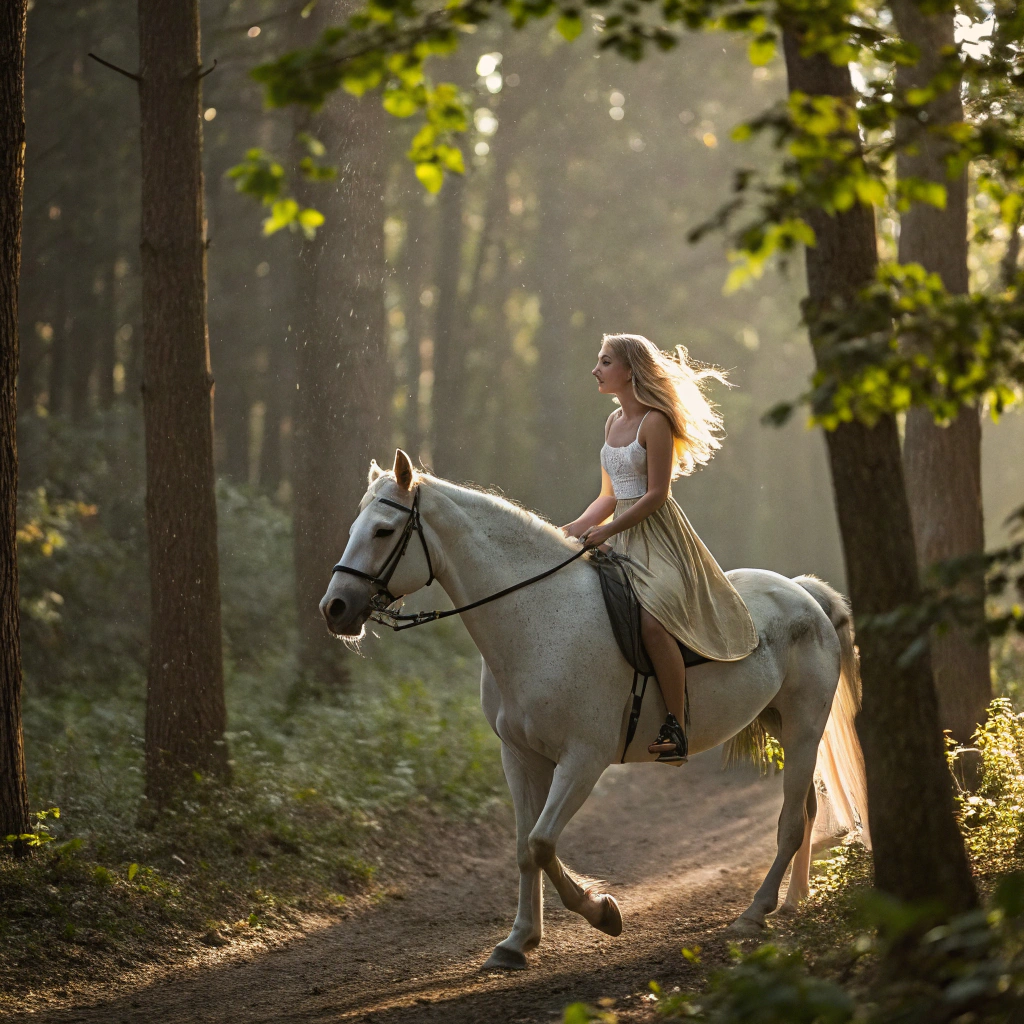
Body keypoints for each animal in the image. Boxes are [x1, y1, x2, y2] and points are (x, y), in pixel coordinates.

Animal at [320, 449, 869, 969]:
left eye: (384, 530)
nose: (334, 609)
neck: (537, 618)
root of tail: (804, 593)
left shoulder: (583, 760)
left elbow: (542, 842)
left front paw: (602, 912)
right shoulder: (520, 757)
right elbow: (523, 849)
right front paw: (517, 942)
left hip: (803, 727)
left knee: (791, 821)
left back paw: (755, 912)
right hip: (779, 725)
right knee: (806, 809)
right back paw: (793, 901)